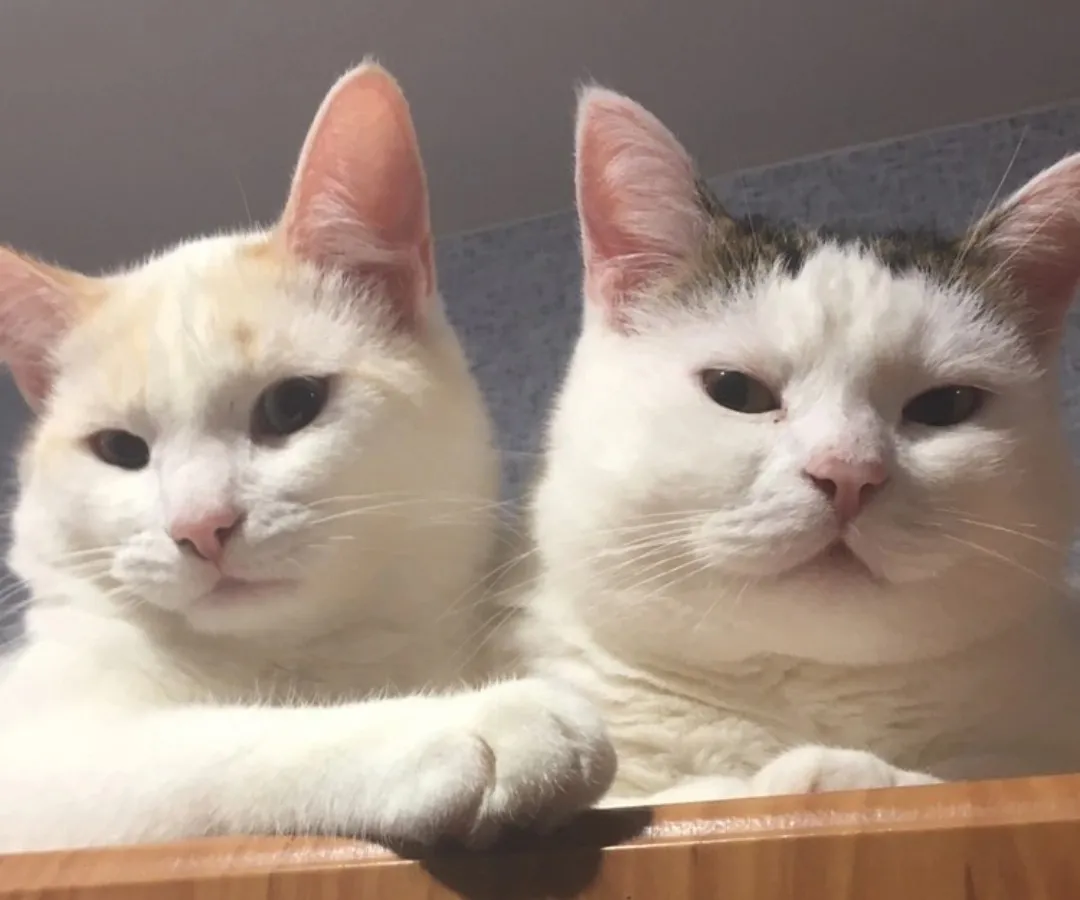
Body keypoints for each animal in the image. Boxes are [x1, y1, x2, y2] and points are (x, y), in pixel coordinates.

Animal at [0, 62, 614, 852]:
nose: (199, 527)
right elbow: (205, 745)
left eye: (291, 405)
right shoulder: (42, 765)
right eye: (119, 449)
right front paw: (462, 723)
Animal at [519, 85, 1080, 804]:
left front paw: (844, 774)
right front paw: (741, 786)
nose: (848, 472)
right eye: (736, 390)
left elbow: (977, 774)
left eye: (945, 406)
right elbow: (656, 796)